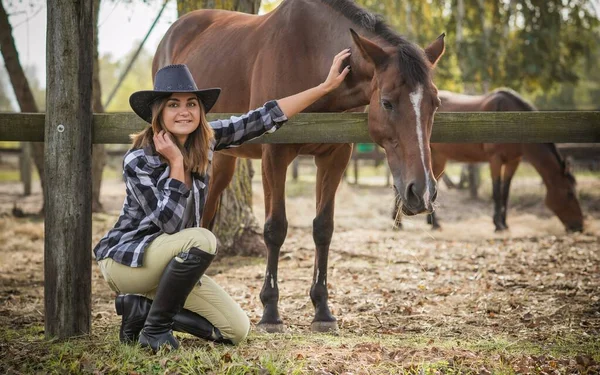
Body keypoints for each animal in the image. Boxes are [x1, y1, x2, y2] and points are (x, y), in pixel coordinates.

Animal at [155, 0, 446, 334]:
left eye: (435, 103)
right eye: (387, 102)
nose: (421, 192)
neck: (309, 54)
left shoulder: (335, 156)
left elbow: (323, 228)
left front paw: (322, 310)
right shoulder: (275, 156)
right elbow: (275, 229)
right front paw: (270, 312)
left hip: (222, 162)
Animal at [396, 89, 584, 234]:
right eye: (569, 193)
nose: (579, 226)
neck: (512, 116)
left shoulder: (513, 162)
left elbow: (505, 192)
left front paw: (505, 224)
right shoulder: (495, 159)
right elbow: (496, 191)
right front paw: (498, 225)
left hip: (438, 158)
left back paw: (430, 223)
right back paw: (401, 223)